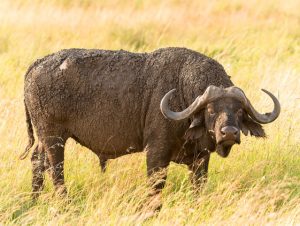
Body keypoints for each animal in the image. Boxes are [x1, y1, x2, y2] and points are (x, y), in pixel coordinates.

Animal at [21, 47, 282, 208]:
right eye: (210, 110)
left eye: (239, 111)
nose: (229, 133)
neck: (182, 95)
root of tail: (36, 64)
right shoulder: (156, 153)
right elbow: (156, 187)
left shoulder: (201, 158)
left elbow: (198, 186)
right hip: (54, 137)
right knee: (56, 171)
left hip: (44, 139)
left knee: (37, 162)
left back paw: (34, 200)